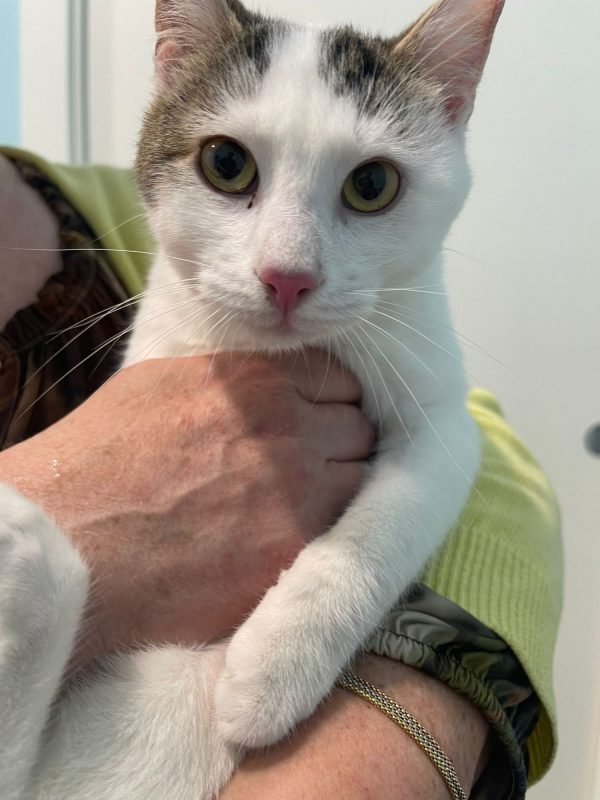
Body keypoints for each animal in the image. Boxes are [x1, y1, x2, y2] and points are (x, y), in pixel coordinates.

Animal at [0, 0, 504, 797]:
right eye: (226, 164)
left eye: (372, 183)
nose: (287, 276)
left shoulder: (444, 413)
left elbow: (388, 524)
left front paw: (272, 671)